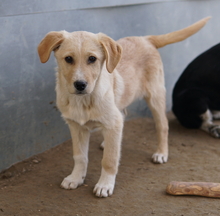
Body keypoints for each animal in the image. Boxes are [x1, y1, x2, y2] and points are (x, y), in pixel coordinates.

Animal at [37, 16, 210, 197]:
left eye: (92, 59)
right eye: (68, 59)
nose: (80, 85)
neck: (84, 100)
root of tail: (146, 38)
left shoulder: (112, 123)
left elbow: (109, 159)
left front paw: (105, 184)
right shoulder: (77, 126)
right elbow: (79, 156)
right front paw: (76, 178)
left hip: (155, 96)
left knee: (162, 125)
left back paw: (161, 153)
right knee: (123, 117)